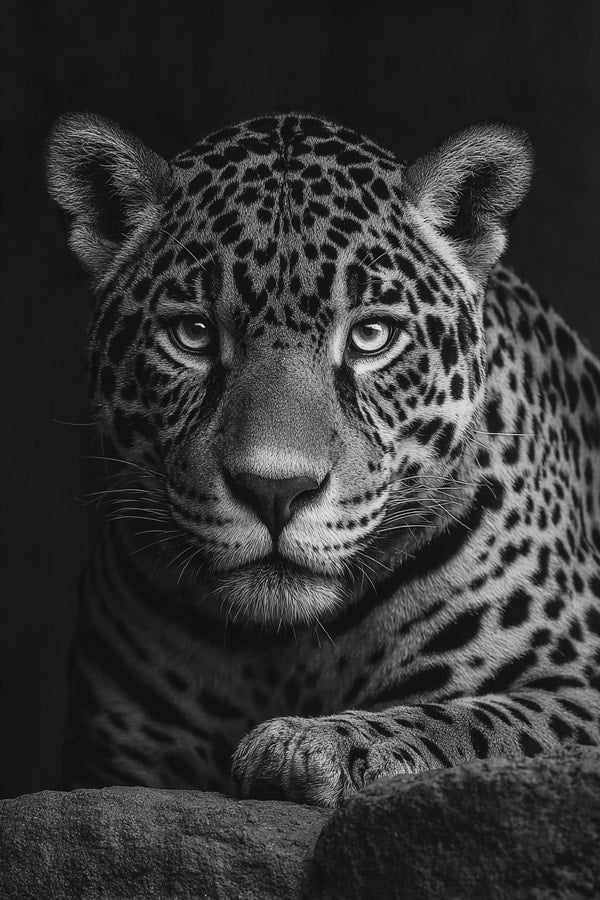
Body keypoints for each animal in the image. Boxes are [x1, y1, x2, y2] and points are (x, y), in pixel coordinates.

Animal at [45, 111, 600, 807]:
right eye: (192, 335)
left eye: (371, 336)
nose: (274, 491)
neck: (278, 653)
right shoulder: (109, 764)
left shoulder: (576, 685)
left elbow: (476, 720)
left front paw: (312, 744)